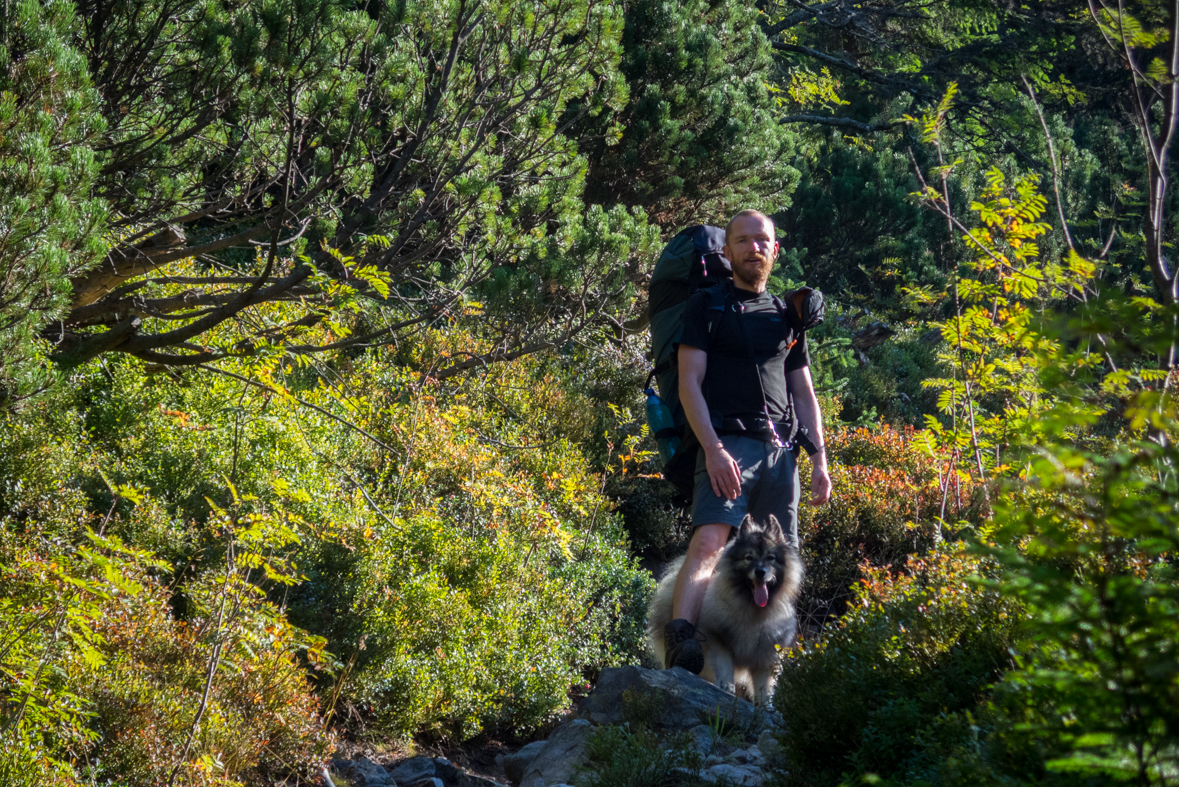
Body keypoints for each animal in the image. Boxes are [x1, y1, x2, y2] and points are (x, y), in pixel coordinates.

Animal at [646, 513, 801, 702]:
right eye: (749, 558)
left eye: (770, 558)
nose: (760, 572)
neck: (752, 608)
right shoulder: (717, 637)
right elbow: (724, 663)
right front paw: (727, 685)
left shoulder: (765, 657)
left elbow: (764, 687)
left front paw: (766, 706)